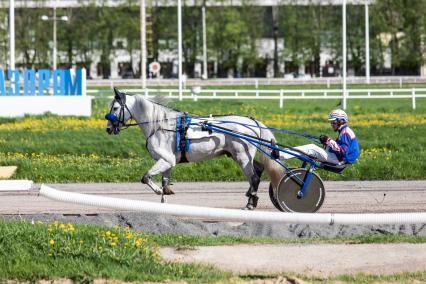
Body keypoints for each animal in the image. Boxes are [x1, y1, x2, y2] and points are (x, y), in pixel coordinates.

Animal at [105, 87, 282, 210]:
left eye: (115, 108)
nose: (108, 129)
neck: (160, 126)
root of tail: (253, 121)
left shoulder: (166, 159)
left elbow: (146, 177)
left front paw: (158, 192)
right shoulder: (167, 163)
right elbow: (164, 183)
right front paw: (163, 199)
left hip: (242, 156)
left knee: (254, 178)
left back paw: (250, 203)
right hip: (238, 155)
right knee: (258, 169)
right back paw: (250, 196)